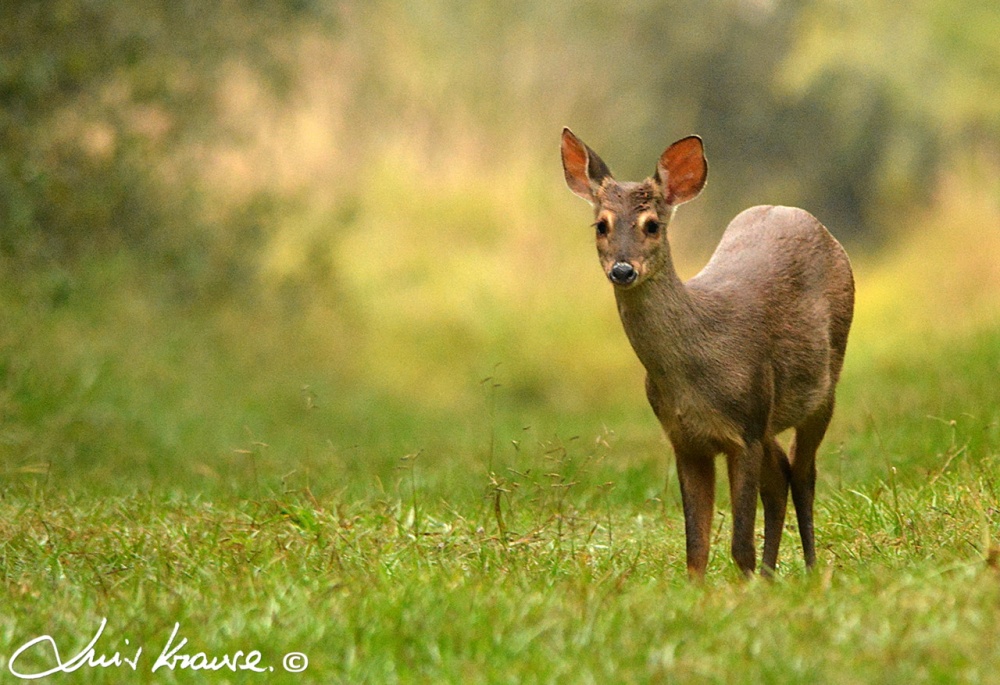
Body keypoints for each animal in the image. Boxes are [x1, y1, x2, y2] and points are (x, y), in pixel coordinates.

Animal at [560, 128, 856, 576]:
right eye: (601, 224)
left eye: (652, 225)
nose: (623, 270)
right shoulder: (687, 439)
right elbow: (696, 547)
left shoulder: (745, 428)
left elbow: (739, 544)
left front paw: (747, 587)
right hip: (769, 421)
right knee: (780, 475)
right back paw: (773, 574)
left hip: (823, 390)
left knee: (804, 474)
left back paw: (809, 570)